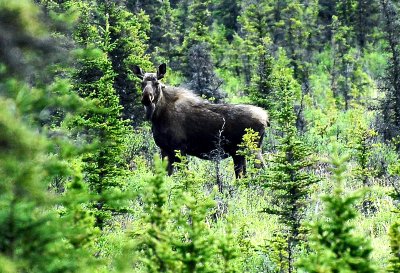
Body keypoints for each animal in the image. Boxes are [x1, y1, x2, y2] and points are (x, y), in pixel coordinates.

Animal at [134, 63, 268, 178]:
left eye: (156, 83)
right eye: (142, 83)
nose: (146, 98)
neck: (158, 117)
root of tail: (266, 118)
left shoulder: (179, 148)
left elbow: (184, 174)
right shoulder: (165, 149)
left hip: (252, 148)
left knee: (262, 168)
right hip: (239, 153)